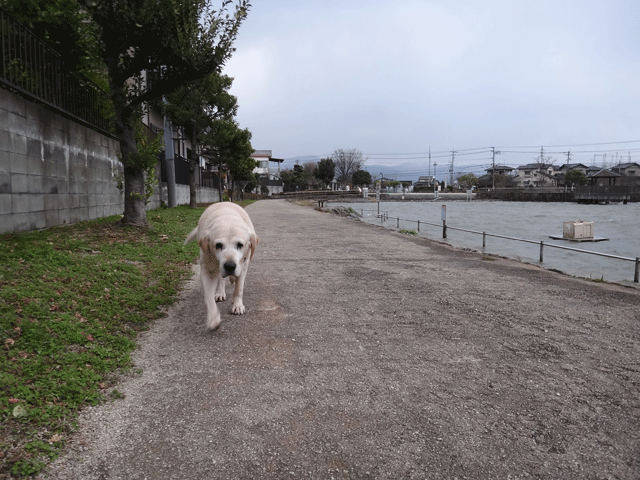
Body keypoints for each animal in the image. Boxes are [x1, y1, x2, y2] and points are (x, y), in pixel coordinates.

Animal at [185, 202, 258, 330]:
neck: (226, 216)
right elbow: (209, 297)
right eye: (218, 245)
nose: (230, 266)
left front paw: (237, 305)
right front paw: (213, 318)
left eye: (240, 245)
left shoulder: (243, 266)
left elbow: (239, 288)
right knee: (221, 279)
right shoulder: (208, 270)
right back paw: (220, 292)